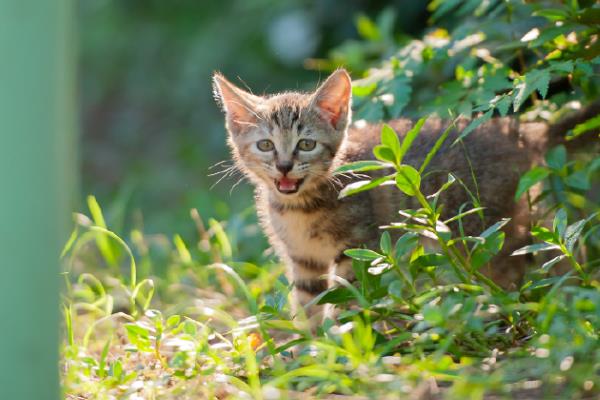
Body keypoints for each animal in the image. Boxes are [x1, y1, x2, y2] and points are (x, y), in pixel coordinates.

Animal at [211, 69, 596, 324]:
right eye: (265, 145)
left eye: (306, 144)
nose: (285, 166)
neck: (298, 207)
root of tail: (522, 129)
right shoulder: (303, 259)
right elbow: (308, 304)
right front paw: (308, 350)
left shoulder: (359, 248)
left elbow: (349, 296)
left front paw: (348, 338)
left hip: (483, 230)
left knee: (518, 263)